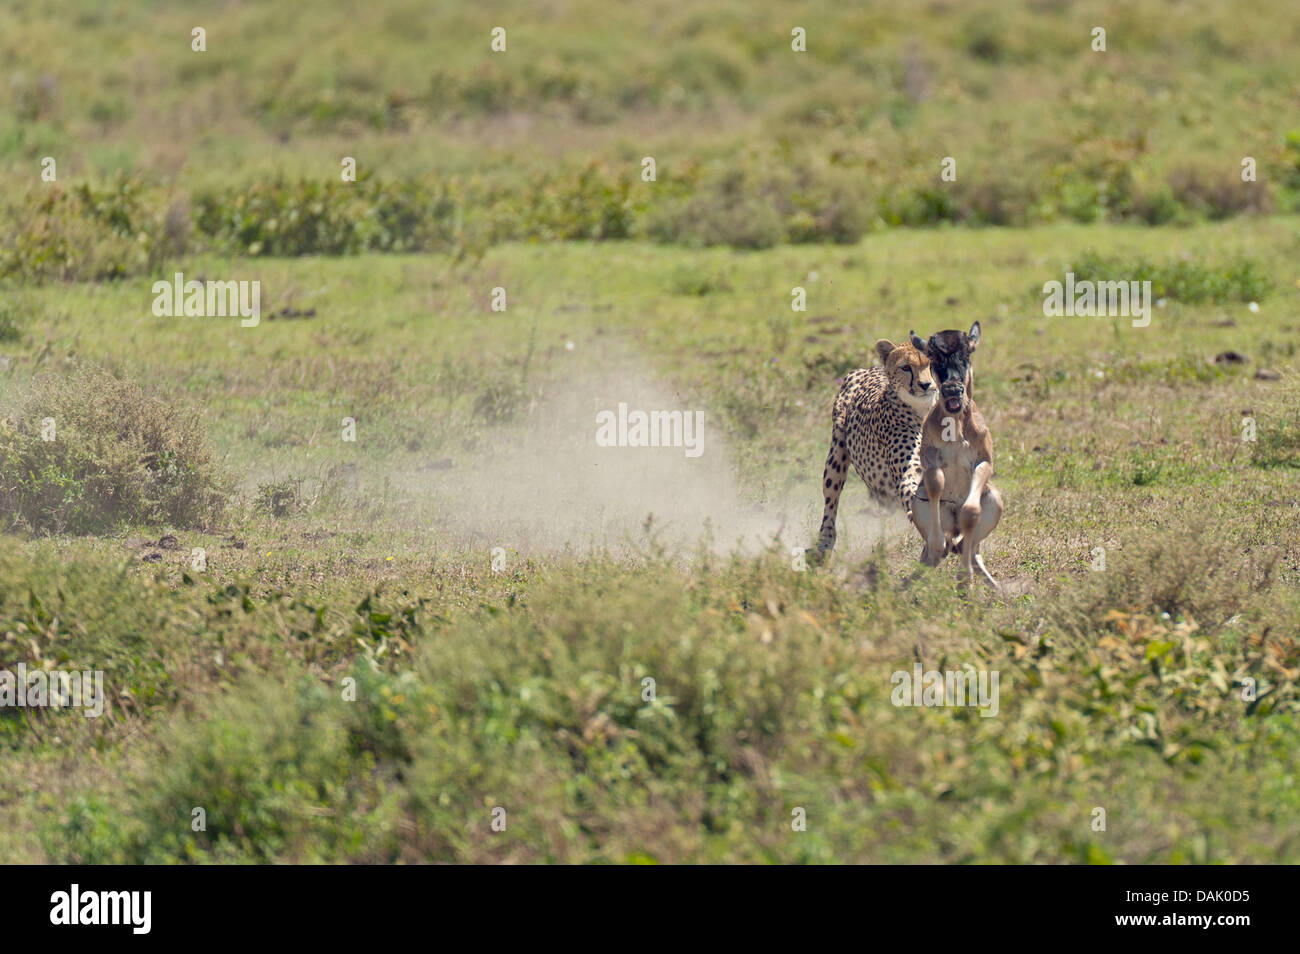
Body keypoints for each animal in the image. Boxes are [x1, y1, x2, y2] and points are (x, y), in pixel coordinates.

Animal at [811, 340, 935, 556]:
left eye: (931, 364)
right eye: (906, 367)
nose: (926, 385)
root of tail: (867, 369)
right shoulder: (910, 472)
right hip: (836, 458)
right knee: (830, 502)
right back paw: (824, 544)